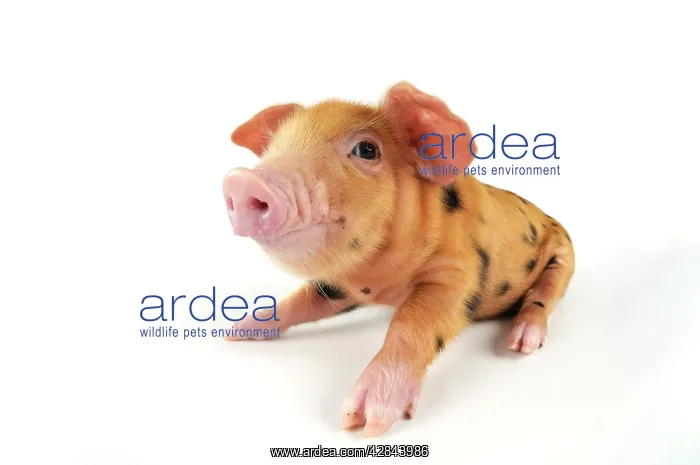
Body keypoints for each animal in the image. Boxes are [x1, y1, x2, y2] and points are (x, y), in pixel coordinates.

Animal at [221, 82, 575, 437]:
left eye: (367, 150)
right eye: (274, 146)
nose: (242, 180)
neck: (379, 283)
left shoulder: (459, 272)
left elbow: (412, 322)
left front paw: (363, 422)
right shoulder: (337, 288)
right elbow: (299, 303)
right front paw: (237, 330)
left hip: (564, 256)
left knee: (544, 295)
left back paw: (522, 342)